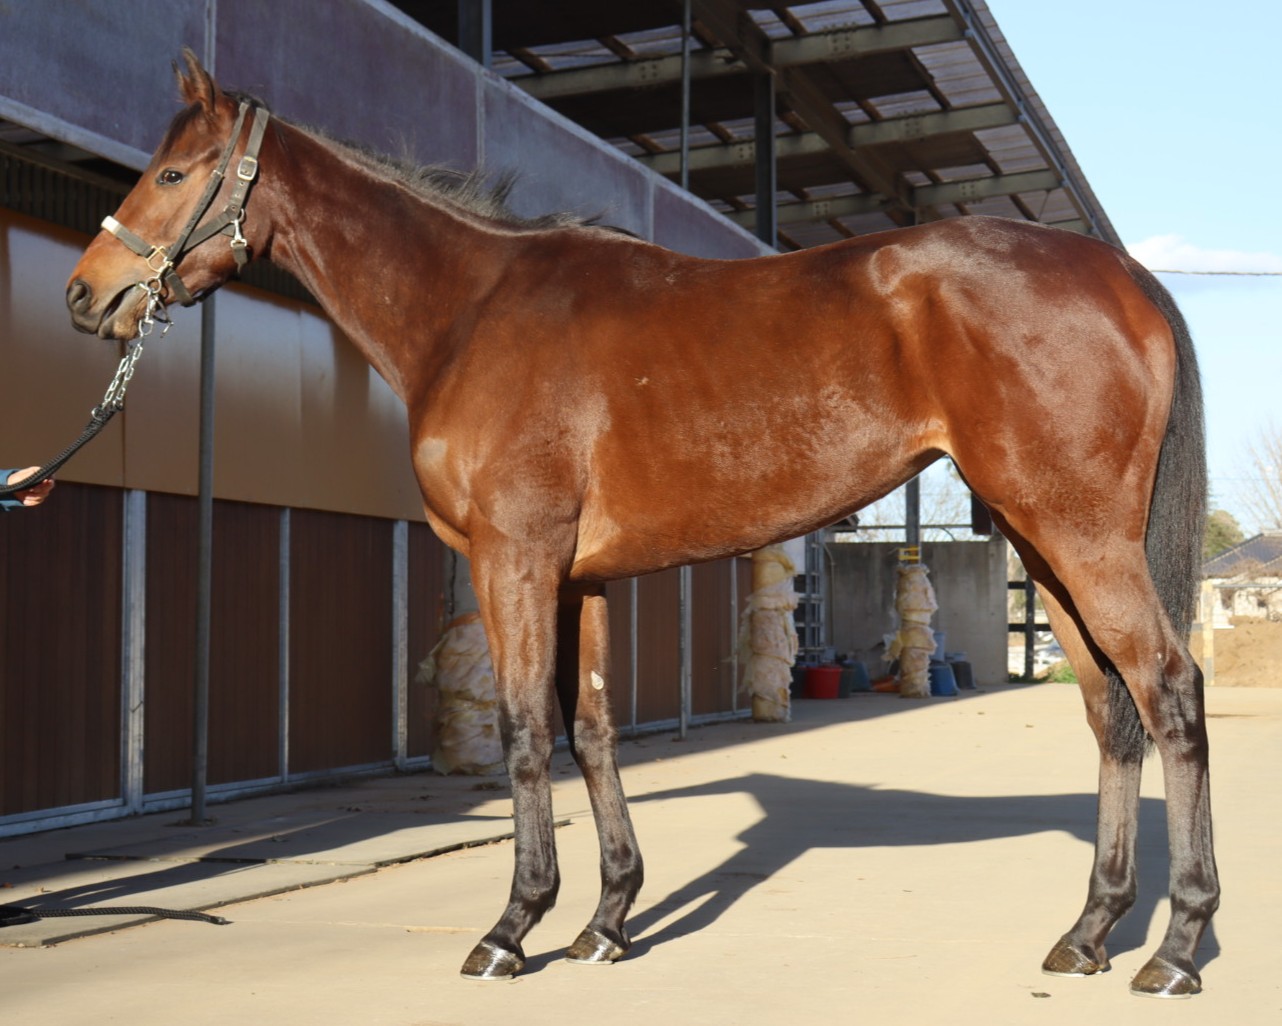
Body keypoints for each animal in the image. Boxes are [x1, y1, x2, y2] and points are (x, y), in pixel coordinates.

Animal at [65, 51, 1217, 998]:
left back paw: (1171, 949)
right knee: (1110, 710)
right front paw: (607, 920)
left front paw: (511, 930)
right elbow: (592, 730)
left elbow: (527, 734)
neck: (473, 310)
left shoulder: (516, 560)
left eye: (173, 174)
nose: (85, 296)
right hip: (1044, 548)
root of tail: (1125, 278)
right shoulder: (579, 576)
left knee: (1167, 689)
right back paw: (1089, 932)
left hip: (1078, 539)